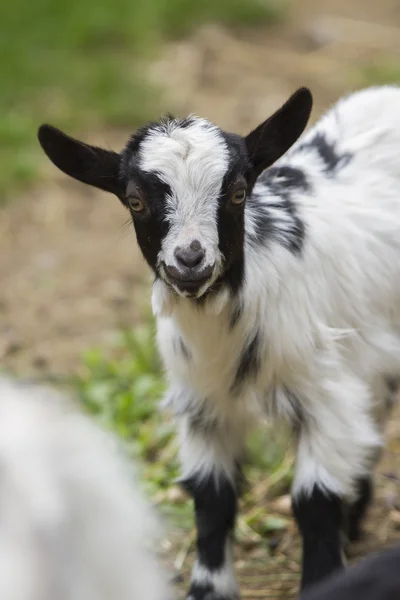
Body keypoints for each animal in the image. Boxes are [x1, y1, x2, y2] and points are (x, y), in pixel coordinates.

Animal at [37, 85, 400, 600]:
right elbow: (211, 499)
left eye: (238, 192)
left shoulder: (325, 393)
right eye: (134, 200)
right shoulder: (202, 404)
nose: (190, 259)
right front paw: (208, 590)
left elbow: (314, 501)